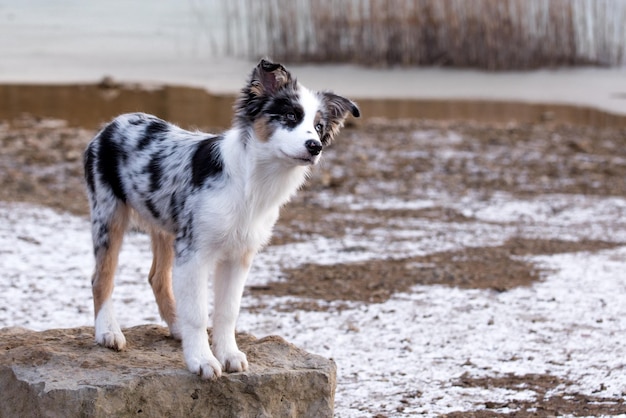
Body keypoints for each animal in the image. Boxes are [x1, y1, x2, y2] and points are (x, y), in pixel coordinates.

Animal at [83, 59, 358, 378]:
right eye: (290, 116)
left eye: (318, 127)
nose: (316, 146)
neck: (252, 184)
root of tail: (113, 124)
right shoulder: (194, 253)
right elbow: (198, 313)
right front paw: (201, 360)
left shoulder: (238, 256)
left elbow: (227, 311)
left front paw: (228, 354)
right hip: (108, 214)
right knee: (101, 277)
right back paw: (108, 332)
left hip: (166, 227)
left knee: (157, 278)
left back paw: (175, 327)